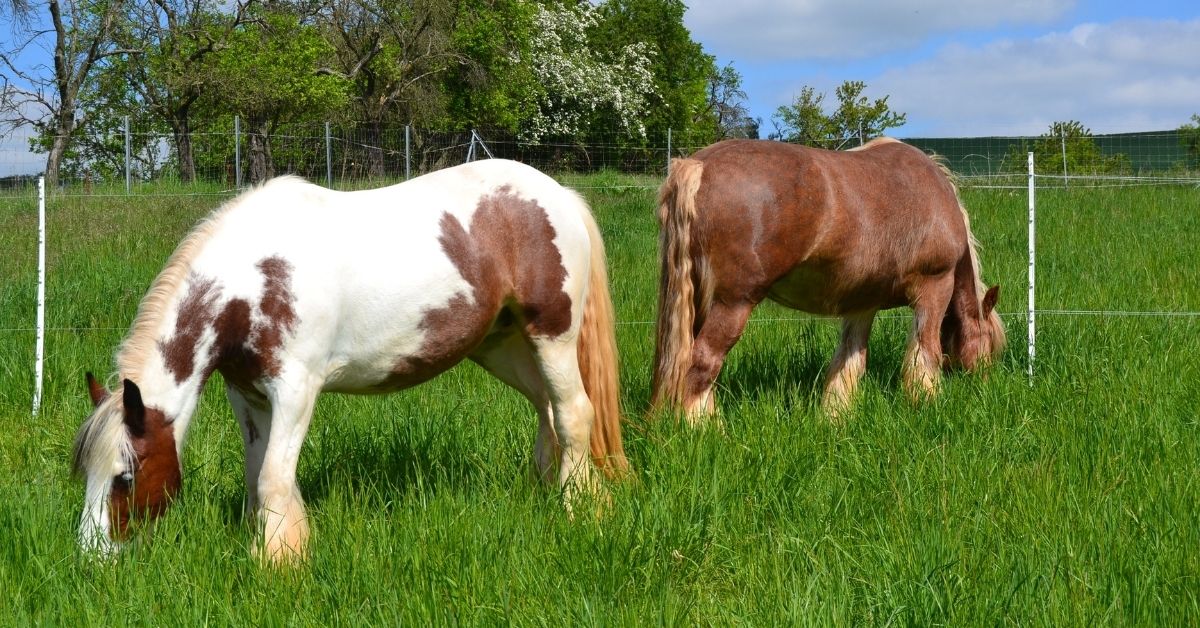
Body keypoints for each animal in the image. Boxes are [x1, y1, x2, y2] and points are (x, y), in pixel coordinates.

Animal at [72, 159, 628, 561]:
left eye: (125, 477)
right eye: (85, 475)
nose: (91, 559)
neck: (252, 281)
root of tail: (561, 196)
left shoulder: (296, 390)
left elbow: (273, 479)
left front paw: (276, 564)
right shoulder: (247, 395)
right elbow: (259, 477)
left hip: (552, 336)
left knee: (575, 413)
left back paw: (581, 511)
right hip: (502, 347)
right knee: (548, 410)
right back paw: (548, 493)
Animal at [652, 137, 1008, 422]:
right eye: (990, 344)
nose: (985, 385)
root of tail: (698, 166)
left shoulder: (863, 306)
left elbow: (848, 362)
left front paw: (835, 414)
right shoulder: (935, 288)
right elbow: (925, 353)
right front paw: (926, 403)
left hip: (698, 304)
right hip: (733, 303)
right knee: (703, 363)